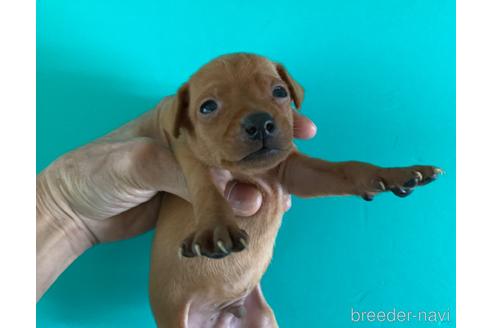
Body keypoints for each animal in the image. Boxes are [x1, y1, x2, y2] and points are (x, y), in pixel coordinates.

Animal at [148, 52, 440, 326]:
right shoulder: (191, 160)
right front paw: (215, 226)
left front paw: (395, 173)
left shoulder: (297, 171)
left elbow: (347, 168)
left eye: (280, 92)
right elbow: (207, 191)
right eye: (208, 107)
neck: (256, 172)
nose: (260, 122)